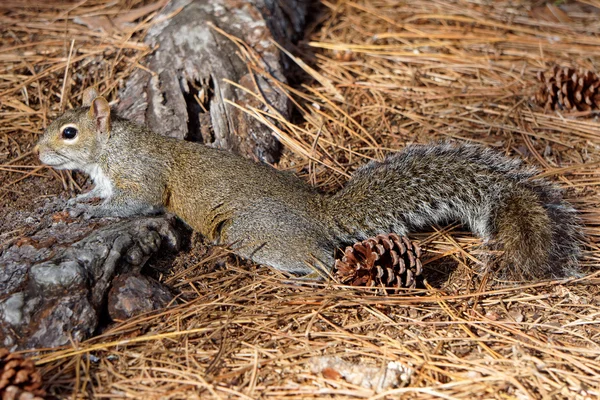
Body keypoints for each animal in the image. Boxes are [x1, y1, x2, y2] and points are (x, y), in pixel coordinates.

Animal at [35, 87, 584, 282]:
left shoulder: (144, 177)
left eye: (69, 132)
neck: (110, 150)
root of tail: (319, 212)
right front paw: (72, 202)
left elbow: (136, 204)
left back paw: (304, 275)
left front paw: (89, 213)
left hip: (252, 232)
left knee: (320, 259)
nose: (38, 153)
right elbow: (99, 194)